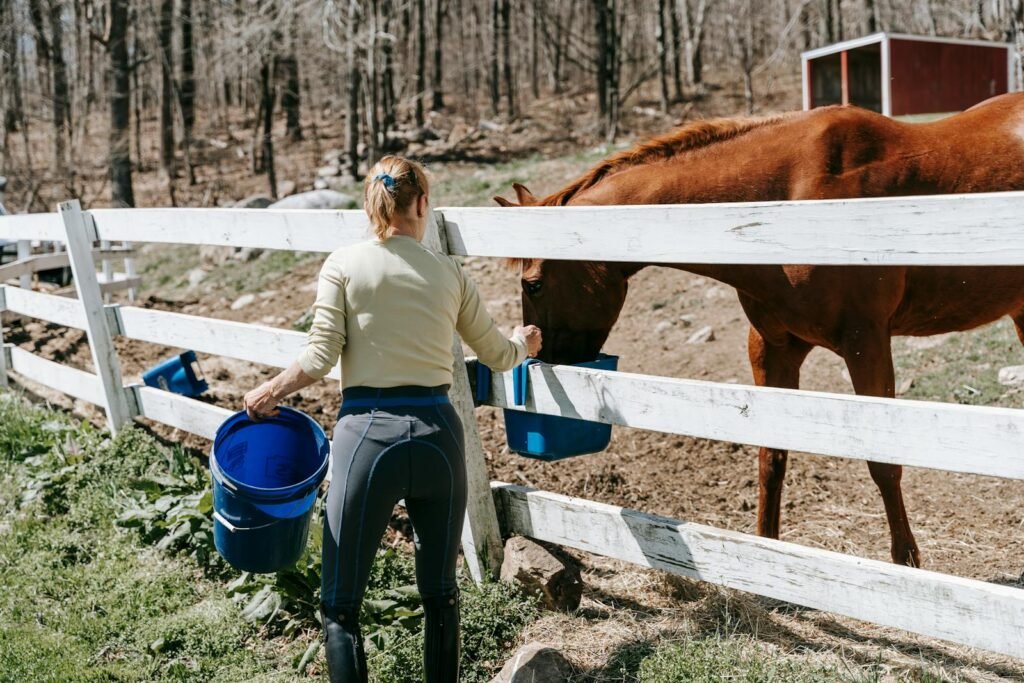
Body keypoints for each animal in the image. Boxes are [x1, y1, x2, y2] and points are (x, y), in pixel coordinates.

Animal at [494, 92, 1024, 567]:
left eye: (532, 283)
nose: (544, 360)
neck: (785, 201)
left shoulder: (867, 344)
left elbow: (882, 461)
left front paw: (905, 563)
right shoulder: (773, 347)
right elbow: (772, 454)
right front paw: (765, 553)